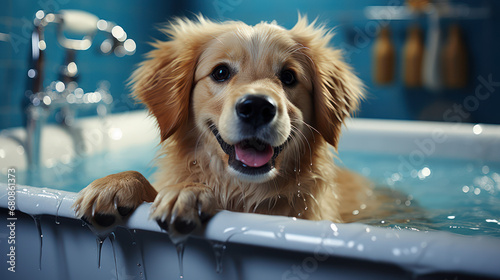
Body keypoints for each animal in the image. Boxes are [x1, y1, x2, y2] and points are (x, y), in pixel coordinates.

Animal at [74, 15, 372, 234]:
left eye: (288, 77)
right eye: (220, 72)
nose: (257, 108)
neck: (243, 193)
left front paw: (188, 192)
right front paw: (116, 183)